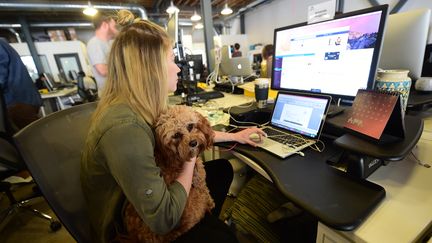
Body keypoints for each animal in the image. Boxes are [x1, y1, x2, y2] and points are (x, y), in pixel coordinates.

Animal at [122, 105, 215, 242]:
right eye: (176, 135)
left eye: (190, 126)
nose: (193, 143)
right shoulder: (199, 188)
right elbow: (205, 193)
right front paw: (211, 204)